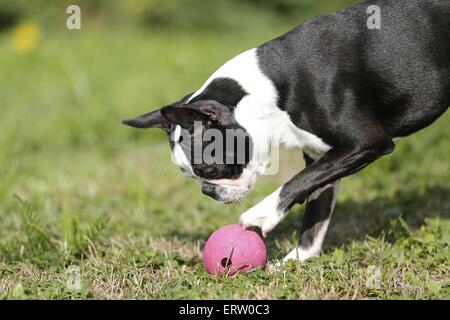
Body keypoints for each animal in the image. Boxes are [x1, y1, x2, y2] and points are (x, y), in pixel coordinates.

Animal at [121, 0, 448, 264]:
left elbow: (296, 181)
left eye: (211, 171)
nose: (208, 191)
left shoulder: (366, 142)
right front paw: (294, 263)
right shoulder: (322, 157)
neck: (270, 90)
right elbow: (314, 212)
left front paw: (263, 213)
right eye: (190, 177)